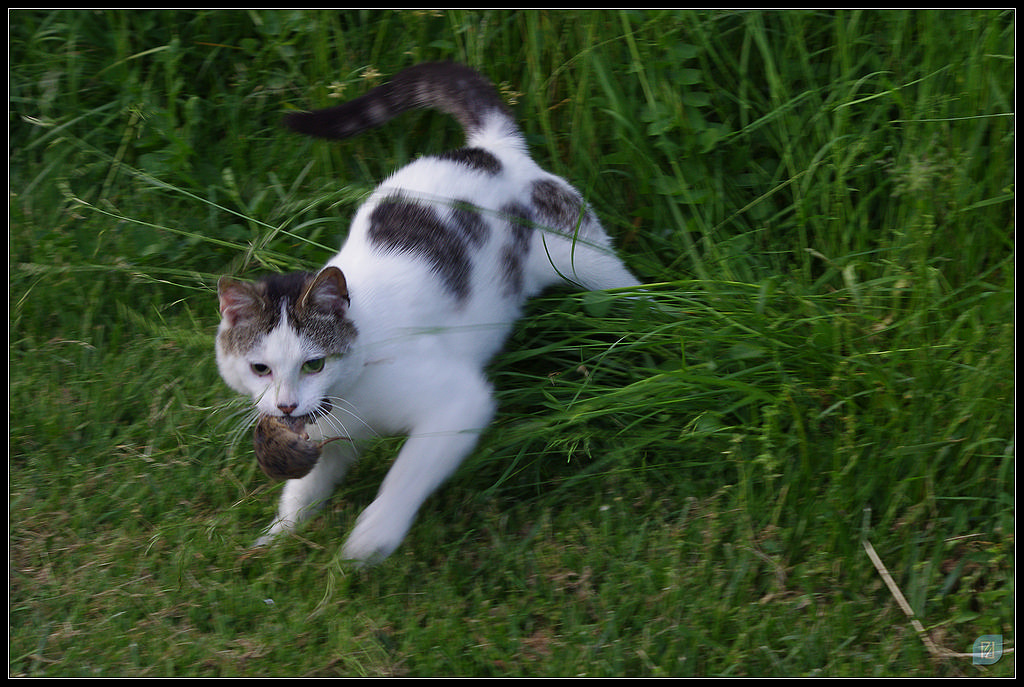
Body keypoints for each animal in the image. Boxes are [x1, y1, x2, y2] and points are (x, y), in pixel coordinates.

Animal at [214, 61, 638, 565]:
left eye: (313, 363)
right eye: (259, 368)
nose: (286, 404)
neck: (349, 393)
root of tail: (491, 150)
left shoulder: (458, 402)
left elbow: (407, 473)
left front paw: (372, 538)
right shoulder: (321, 440)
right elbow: (304, 491)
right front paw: (275, 540)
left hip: (585, 258)